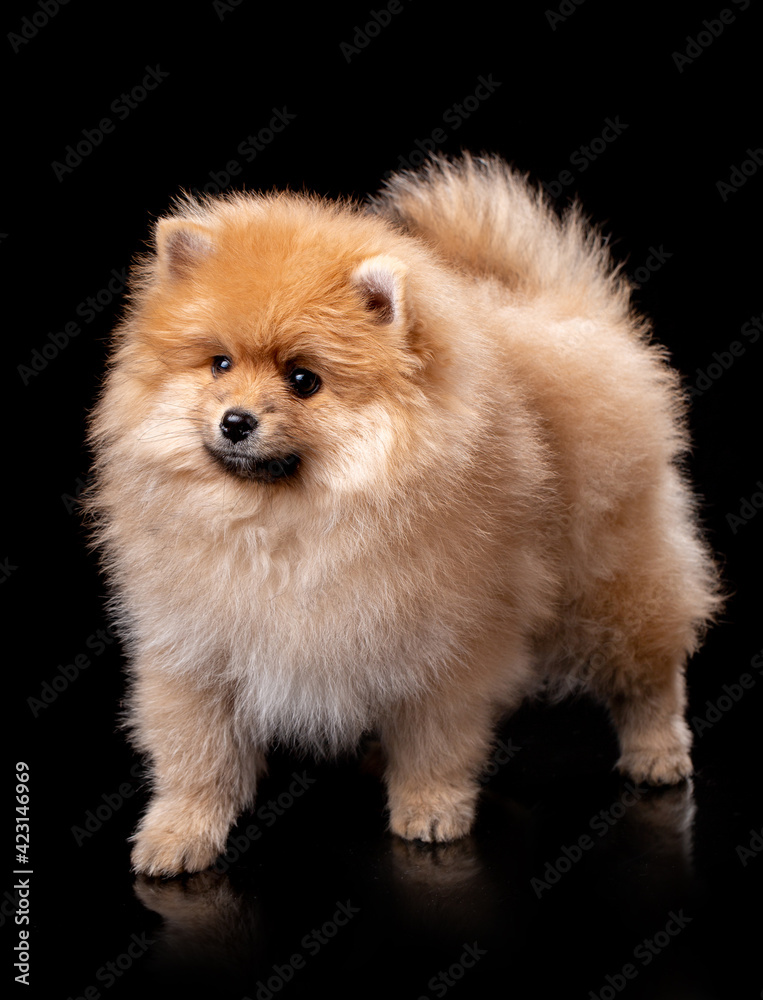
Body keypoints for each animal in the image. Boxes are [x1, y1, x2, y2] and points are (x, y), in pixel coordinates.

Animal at [88, 150, 724, 876]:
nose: (235, 420)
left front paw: (431, 809)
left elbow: (436, 741)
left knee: (649, 672)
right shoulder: (195, 649)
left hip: (611, 582)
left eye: (303, 379)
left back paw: (657, 752)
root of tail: (556, 307)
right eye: (219, 363)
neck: (283, 526)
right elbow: (196, 756)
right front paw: (178, 834)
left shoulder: (445, 642)